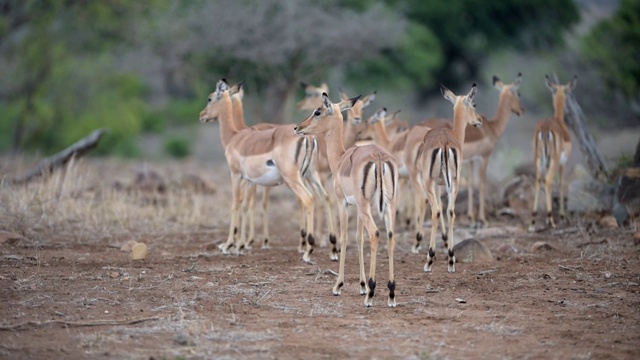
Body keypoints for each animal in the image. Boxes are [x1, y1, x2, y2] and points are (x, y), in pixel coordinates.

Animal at [200, 80, 318, 262]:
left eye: (209, 98)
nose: (202, 115)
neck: (234, 137)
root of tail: (307, 136)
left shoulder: (235, 174)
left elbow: (235, 204)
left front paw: (229, 245)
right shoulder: (250, 180)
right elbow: (246, 205)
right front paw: (239, 245)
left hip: (292, 178)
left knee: (309, 199)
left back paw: (308, 251)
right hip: (304, 177)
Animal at [296, 93, 398, 306]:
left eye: (318, 111)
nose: (297, 127)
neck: (340, 158)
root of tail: (379, 157)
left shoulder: (343, 203)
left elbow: (344, 238)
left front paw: (338, 286)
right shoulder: (357, 207)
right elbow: (358, 239)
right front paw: (362, 285)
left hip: (368, 207)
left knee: (375, 234)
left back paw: (371, 295)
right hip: (388, 205)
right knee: (390, 236)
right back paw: (391, 294)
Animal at [422, 73, 524, 225]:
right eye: (517, 93)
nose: (521, 110)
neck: (492, 128)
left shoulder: (469, 161)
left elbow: (470, 183)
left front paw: (471, 216)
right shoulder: (484, 156)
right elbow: (481, 184)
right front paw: (482, 218)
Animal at [528, 74, 576, 231]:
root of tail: (544, 129)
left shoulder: (547, 162)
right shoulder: (562, 163)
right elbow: (560, 184)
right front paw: (561, 217)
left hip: (538, 160)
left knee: (538, 181)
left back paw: (533, 221)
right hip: (553, 160)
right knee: (548, 181)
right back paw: (552, 220)